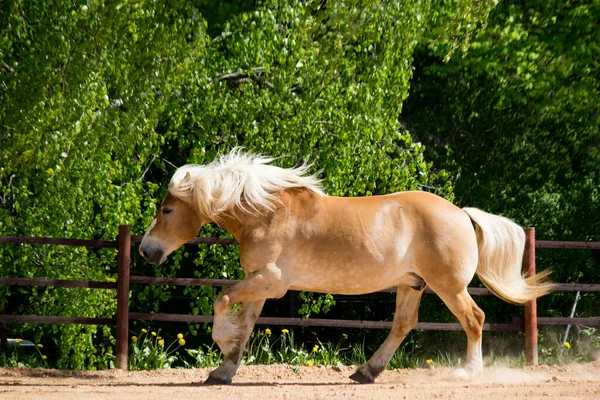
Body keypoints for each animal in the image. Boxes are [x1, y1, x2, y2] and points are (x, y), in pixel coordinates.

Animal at [139, 149, 548, 384]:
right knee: (403, 325)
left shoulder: (270, 281)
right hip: (412, 284)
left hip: (448, 285)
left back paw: (468, 372)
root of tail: (462, 213)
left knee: (474, 319)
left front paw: (224, 345)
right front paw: (224, 370)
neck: (266, 213)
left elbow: (221, 300)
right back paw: (366, 372)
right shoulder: (259, 283)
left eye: (168, 210)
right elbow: (247, 322)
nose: (146, 251)